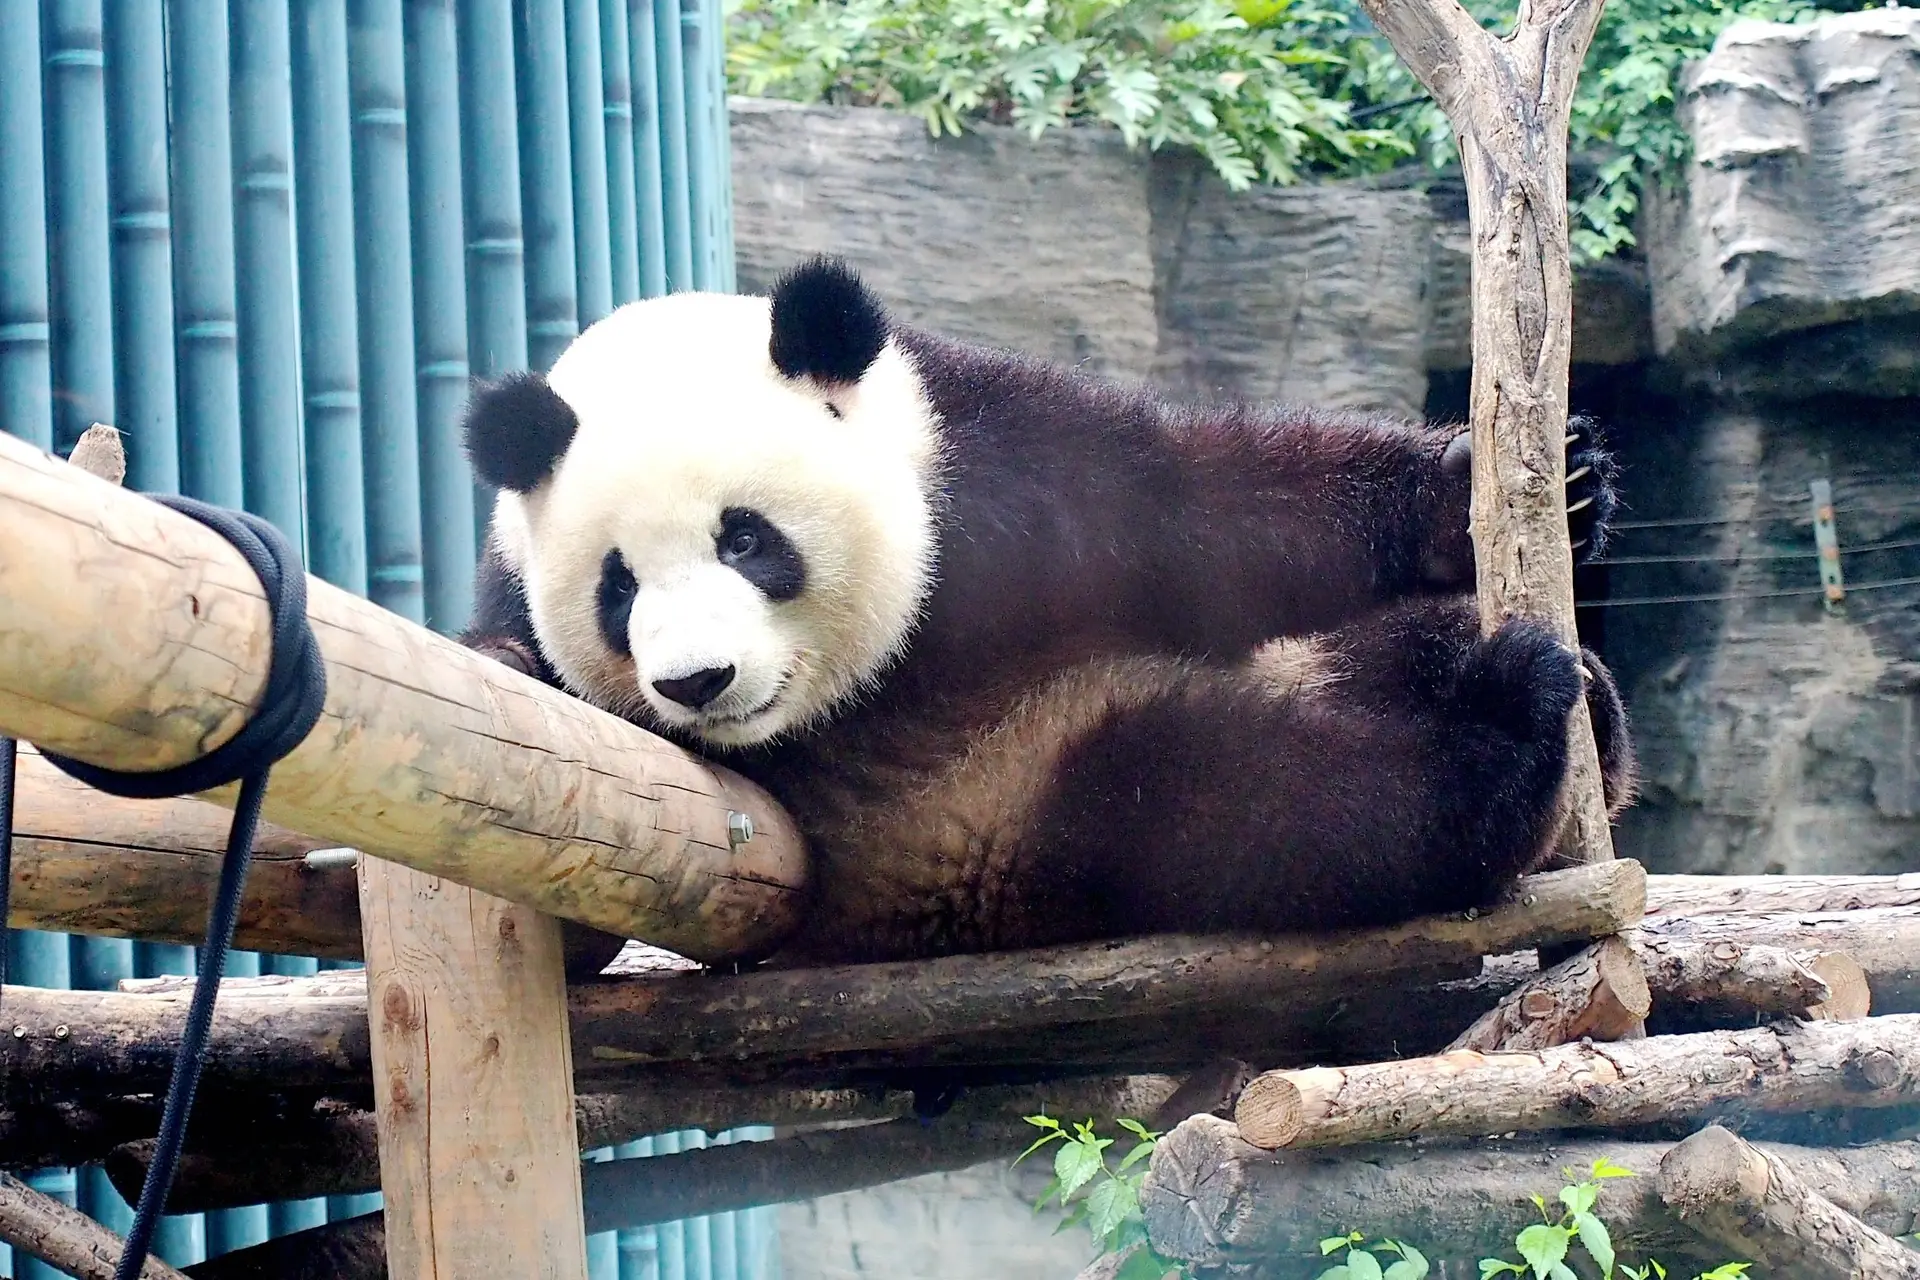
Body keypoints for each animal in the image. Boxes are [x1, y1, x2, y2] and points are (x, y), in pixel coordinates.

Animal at [460, 255, 1636, 967]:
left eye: (743, 538)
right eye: (618, 586)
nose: (697, 682)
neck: (872, 680)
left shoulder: (990, 463)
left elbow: (1208, 510)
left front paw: (1522, 487)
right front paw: (505, 669)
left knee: (1377, 661)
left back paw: (1578, 707)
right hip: (1010, 802)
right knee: (1246, 801)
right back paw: (1506, 729)